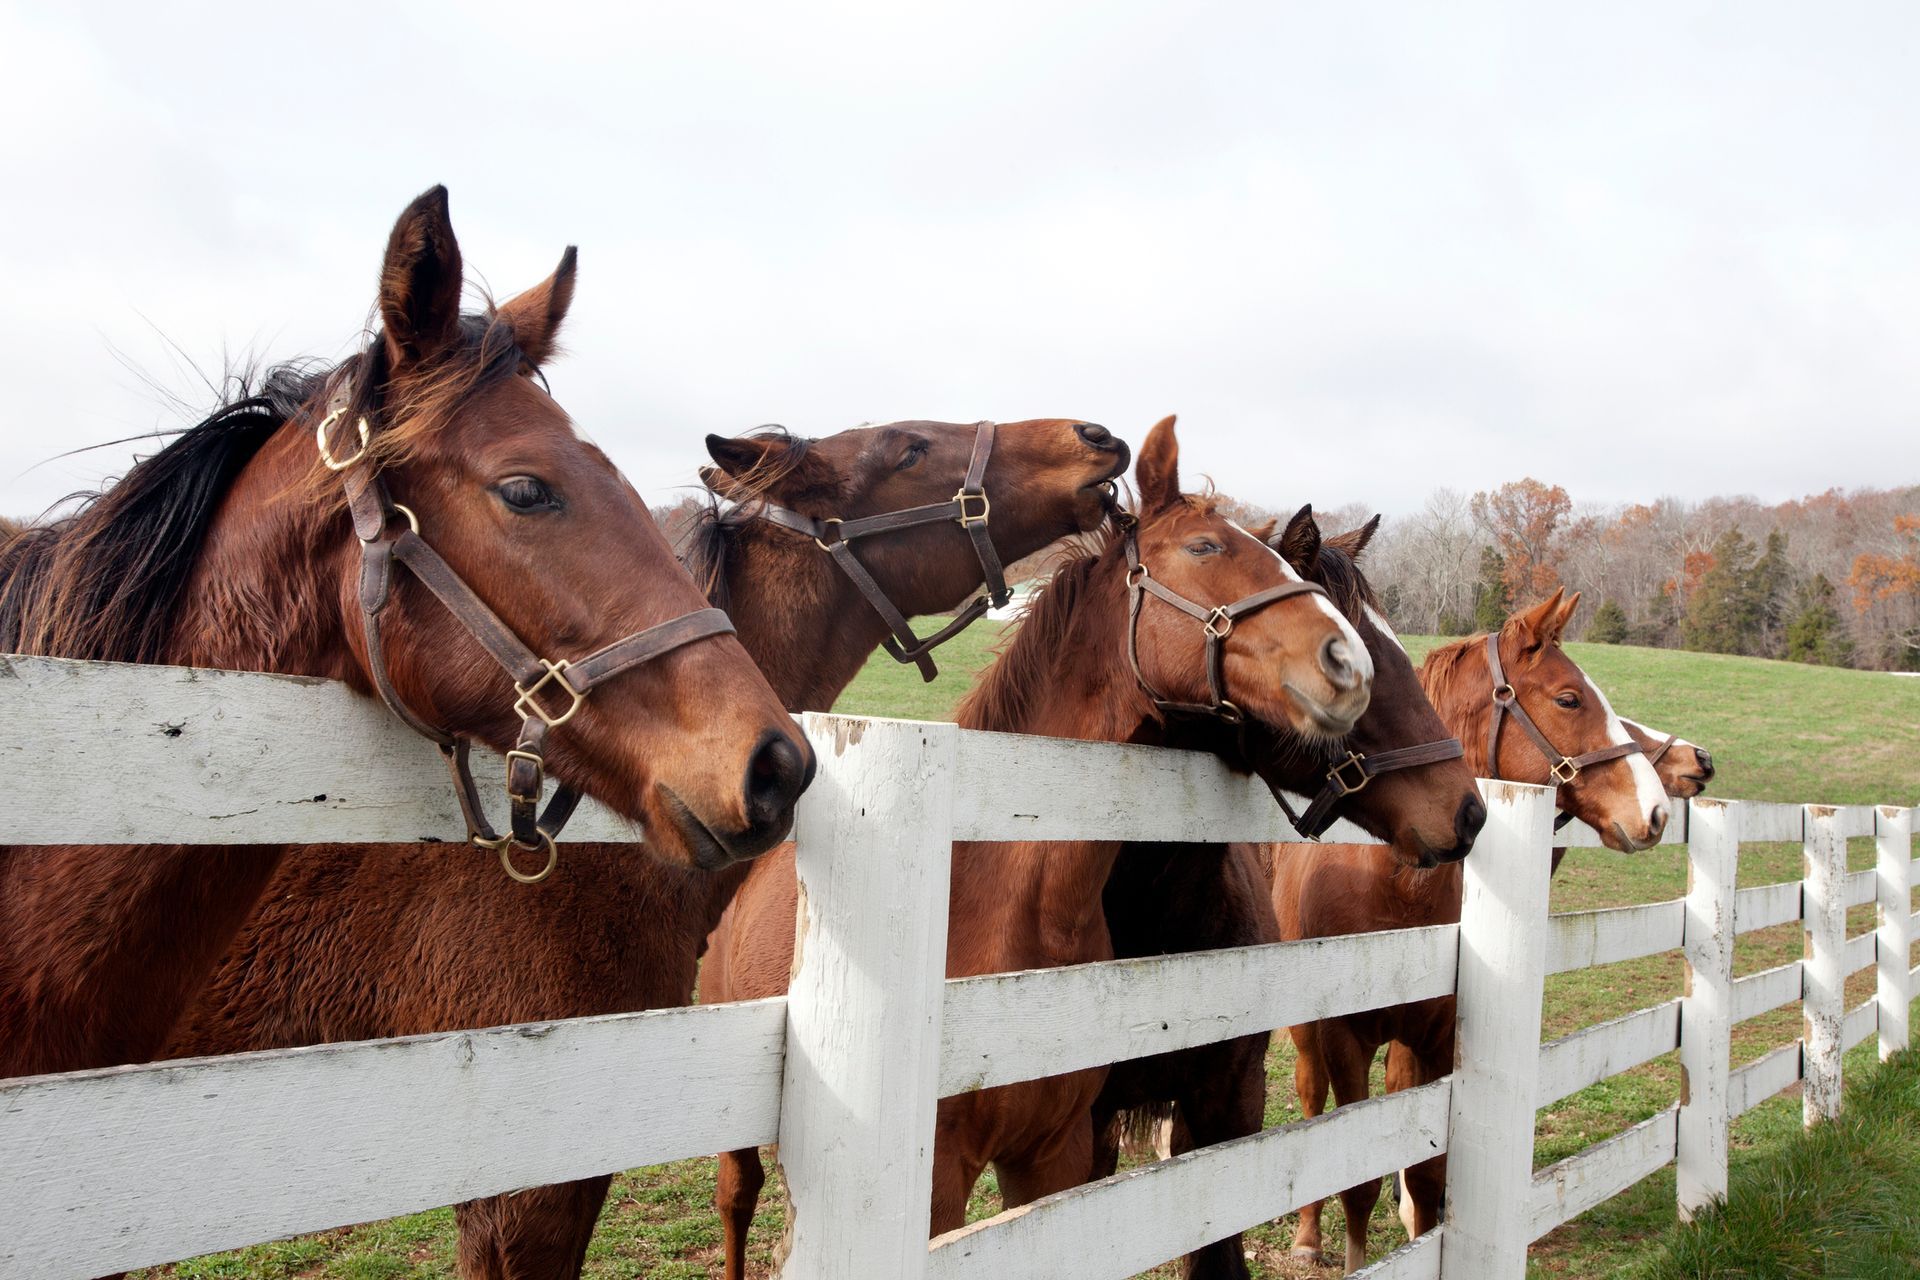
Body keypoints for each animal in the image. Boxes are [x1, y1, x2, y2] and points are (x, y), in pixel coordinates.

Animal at [700, 415, 1377, 1280]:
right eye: (1204, 548)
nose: (1348, 663)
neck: (1004, 903)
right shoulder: (937, 1182)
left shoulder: (1053, 1157)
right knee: (734, 1200)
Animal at [1277, 590, 1681, 1272]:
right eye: (1569, 698)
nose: (1654, 813)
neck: (1395, 885)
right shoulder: (1346, 1039)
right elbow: (1355, 1179)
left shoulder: (1437, 1039)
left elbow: (1428, 1177)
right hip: (1308, 1029)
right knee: (1310, 1099)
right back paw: (1307, 1237)